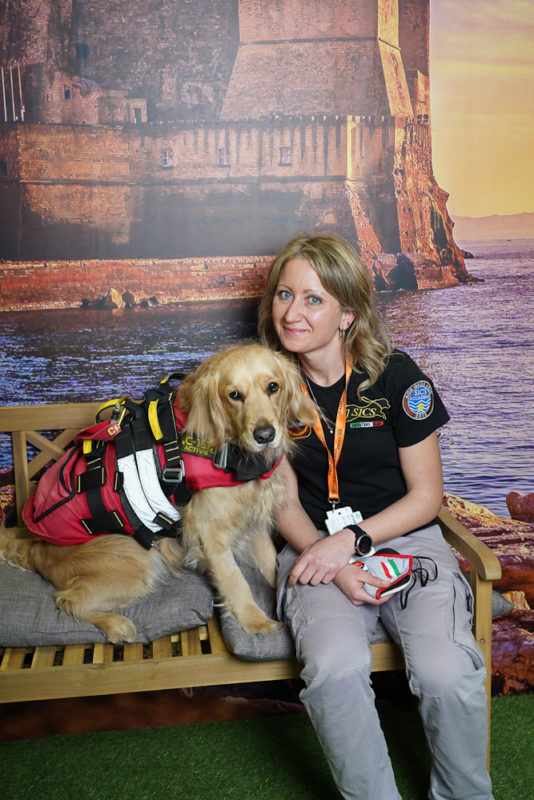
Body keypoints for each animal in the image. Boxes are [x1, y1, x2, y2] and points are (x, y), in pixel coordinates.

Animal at [1, 344, 318, 644]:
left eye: (273, 387)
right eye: (234, 395)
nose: (265, 435)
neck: (233, 453)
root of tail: (35, 547)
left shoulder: (253, 523)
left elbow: (272, 566)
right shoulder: (209, 534)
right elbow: (235, 581)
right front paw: (258, 624)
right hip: (133, 557)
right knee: (67, 600)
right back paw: (117, 625)